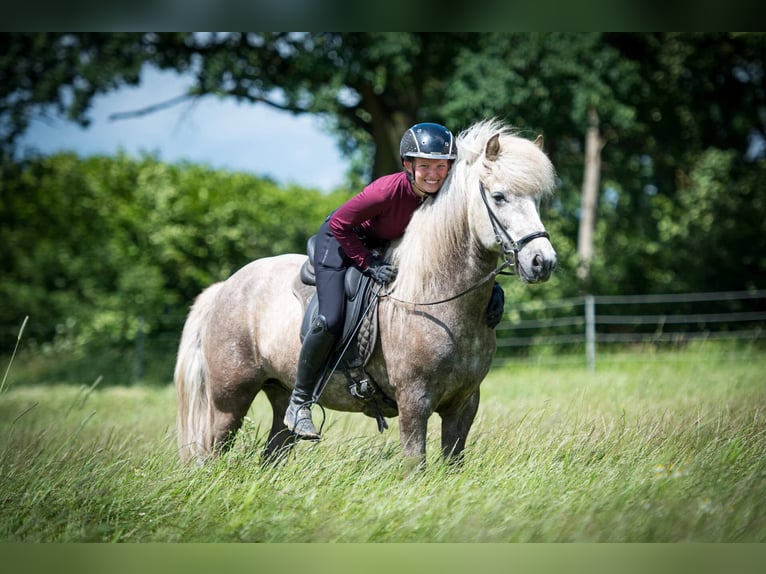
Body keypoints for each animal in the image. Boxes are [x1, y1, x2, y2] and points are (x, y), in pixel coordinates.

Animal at [176, 117, 560, 468]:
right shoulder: (414, 401)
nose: (543, 262)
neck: (435, 294)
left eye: (537, 200)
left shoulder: (464, 402)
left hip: (278, 392)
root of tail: (225, 287)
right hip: (229, 399)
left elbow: (453, 461)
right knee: (214, 450)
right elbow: (415, 464)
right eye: (499, 196)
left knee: (273, 450)